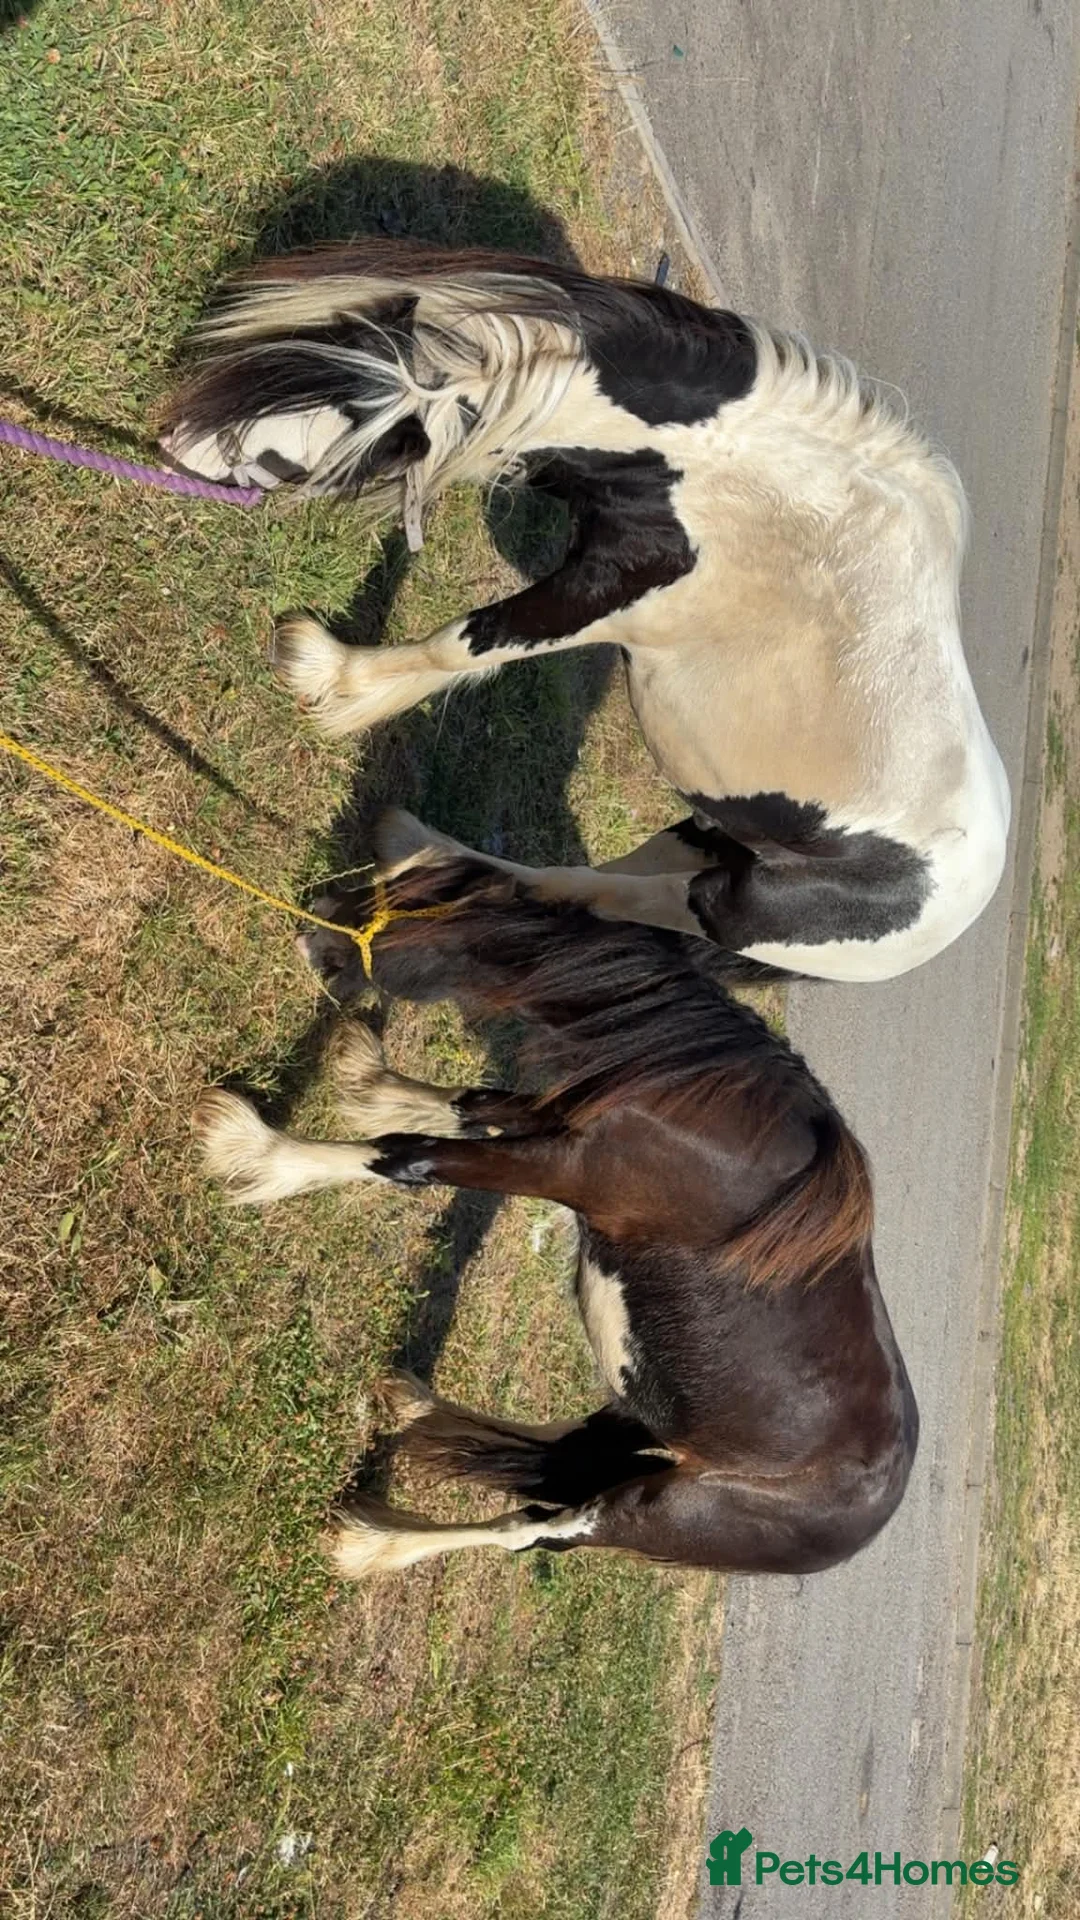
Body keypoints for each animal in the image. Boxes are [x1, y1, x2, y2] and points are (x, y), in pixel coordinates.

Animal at [164, 241, 1010, 984]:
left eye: (367, 428)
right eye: (325, 345)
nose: (177, 445)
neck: (742, 483)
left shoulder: (601, 594)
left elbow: (462, 646)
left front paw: (328, 681)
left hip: (719, 902)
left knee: (599, 896)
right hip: (709, 836)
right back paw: (416, 845)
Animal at [193, 852, 918, 1578]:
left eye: (412, 910)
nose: (314, 925)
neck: (705, 1112)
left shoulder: (559, 1168)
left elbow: (410, 1156)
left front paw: (256, 1153)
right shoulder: (552, 1117)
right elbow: (468, 1105)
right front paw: (367, 1082)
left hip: (656, 1509)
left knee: (533, 1527)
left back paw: (377, 1544)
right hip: (644, 1413)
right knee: (560, 1451)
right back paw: (412, 1407)